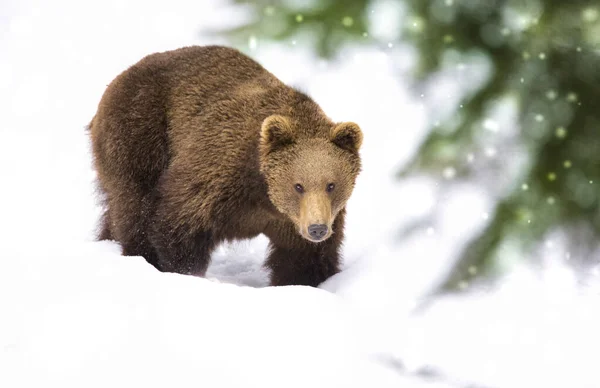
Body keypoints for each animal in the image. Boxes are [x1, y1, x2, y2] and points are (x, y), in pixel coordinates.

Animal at [89, 46, 360, 288]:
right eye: (298, 185)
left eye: (331, 185)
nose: (317, 229)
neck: (262, 194)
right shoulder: (217, 174)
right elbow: (177, 222)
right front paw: (181, 271)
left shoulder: (298, 222)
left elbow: (304, 261)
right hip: (139, 131)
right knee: (135, 204)